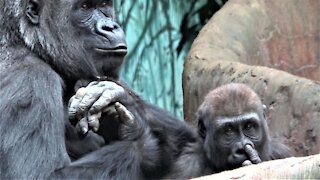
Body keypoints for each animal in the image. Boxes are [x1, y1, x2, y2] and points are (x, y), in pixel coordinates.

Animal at [0, 0, 206, 179]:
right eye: (85, 6)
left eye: (104, 4)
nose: (111, 27)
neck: (23, 41)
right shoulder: (29, 79)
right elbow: (41, 175)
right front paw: (138, 135)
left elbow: (191, 138)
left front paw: (122, 103)